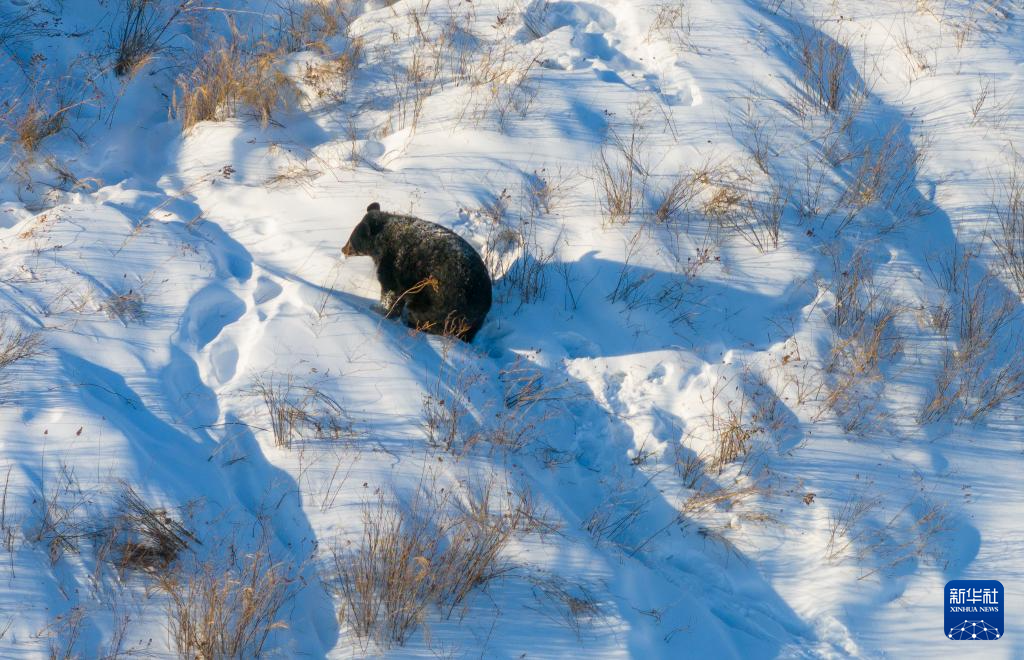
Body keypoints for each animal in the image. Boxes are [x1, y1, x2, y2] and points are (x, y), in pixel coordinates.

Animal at [344, 201, 491, 341]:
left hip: (442, 301)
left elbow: (391, 292)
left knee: (425, 317)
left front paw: (380, 309)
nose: (343, 249)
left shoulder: (392, 263)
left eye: (351, 241)